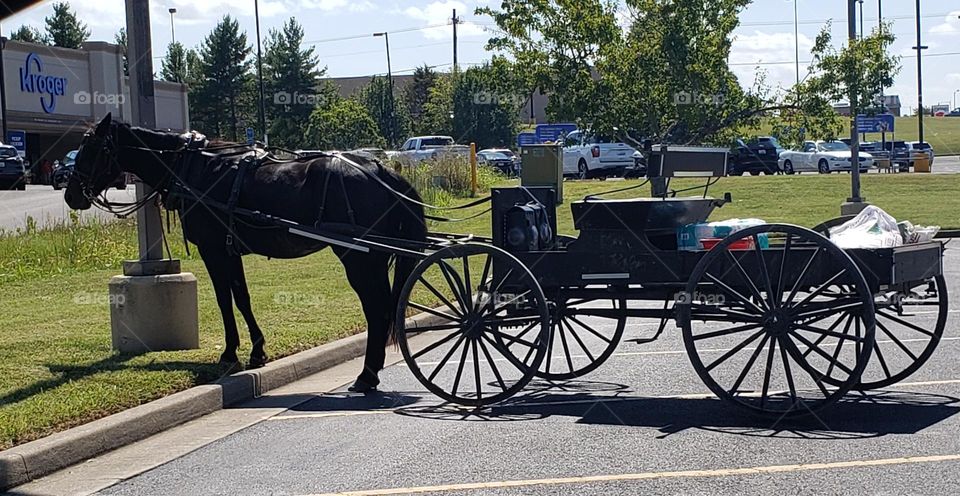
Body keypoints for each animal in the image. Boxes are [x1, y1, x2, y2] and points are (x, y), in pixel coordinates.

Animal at [65, 113, 426, 392]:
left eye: (90, 148)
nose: (70, 195)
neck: (191, 167)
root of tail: (382, 171)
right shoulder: (230, 251)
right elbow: (242, 297)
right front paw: (257, 350)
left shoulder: (213, 249)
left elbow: (225, 300)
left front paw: (229, 354)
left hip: (360, 258)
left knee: (377, 309)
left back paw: (367, 375)